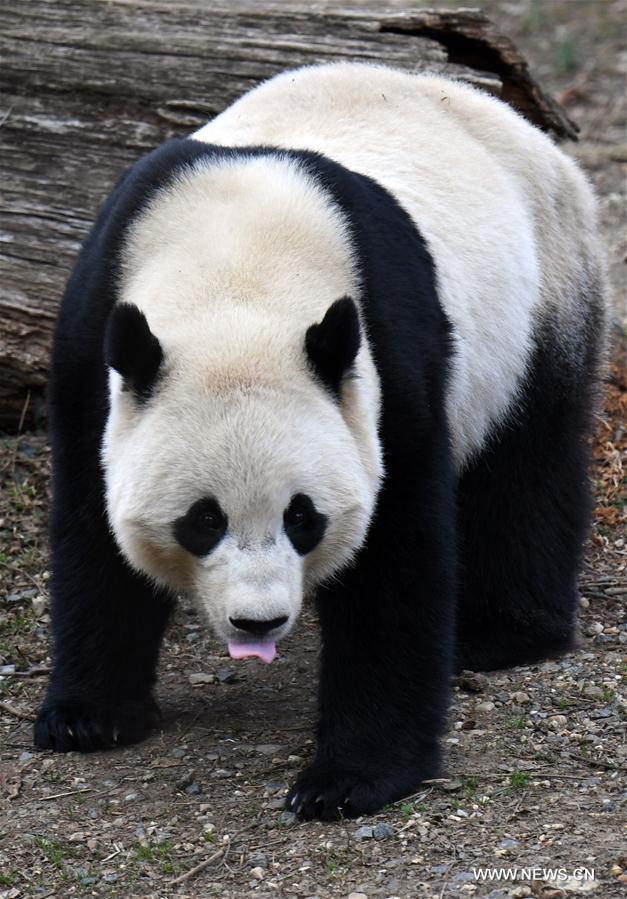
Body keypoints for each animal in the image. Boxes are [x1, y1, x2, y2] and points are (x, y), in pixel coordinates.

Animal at [35, 62, 608, 820]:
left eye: (302, 516)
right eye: (202, 520)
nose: (258, 622)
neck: (237, 273)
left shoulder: (386, 358)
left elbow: (395, 553)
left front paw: (350, 776)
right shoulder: (93, 332)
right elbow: (90, 528)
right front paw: (87, 716)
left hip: (543, 291)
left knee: (524, 469)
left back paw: (500, 631)